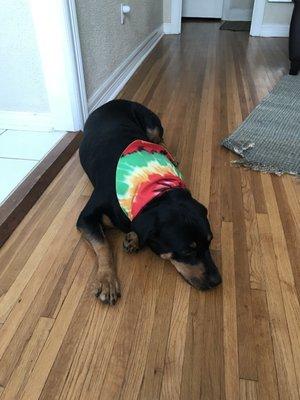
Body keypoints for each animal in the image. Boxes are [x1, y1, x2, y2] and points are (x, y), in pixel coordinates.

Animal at [77, 99, 223, 304]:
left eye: (210, 242)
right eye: (187, 252)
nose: (217, 281)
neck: (157, 193)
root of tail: (115, 101)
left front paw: (134, 238)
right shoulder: (85, 217)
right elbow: (103, 245)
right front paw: (107, 280)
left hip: (153, 126)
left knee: (159, 139)